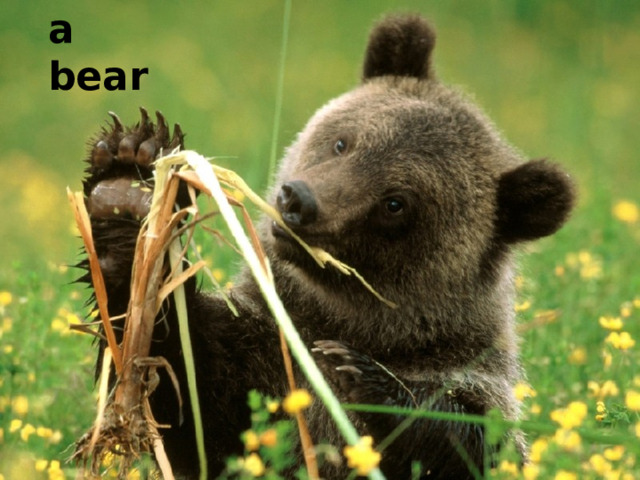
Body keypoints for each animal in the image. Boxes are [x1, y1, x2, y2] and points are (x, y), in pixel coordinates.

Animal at [78, 14, 575, 479]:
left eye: (396, 203)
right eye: (343, 142)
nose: (298, 201)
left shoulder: (468, 380)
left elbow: (469, 440)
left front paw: (366, 378)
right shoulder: (262, 356)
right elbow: (187, 391)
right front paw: (128, 190)